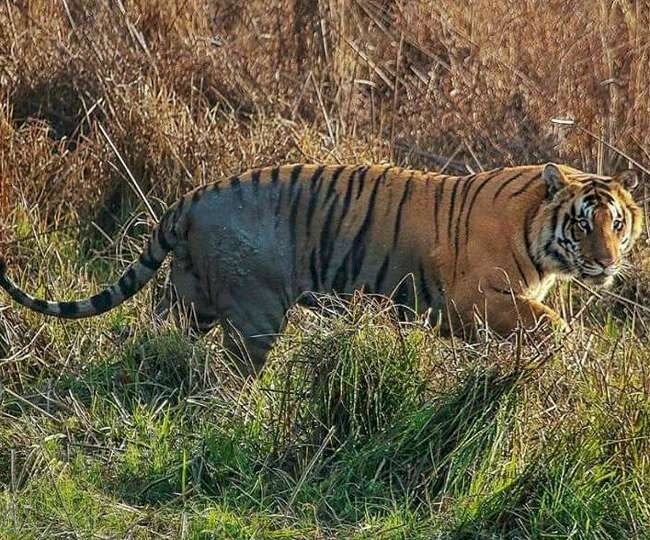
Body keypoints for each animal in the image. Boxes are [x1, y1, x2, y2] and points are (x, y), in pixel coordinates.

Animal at [0, 162, 636, 370]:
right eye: (584, 224)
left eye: (617, 223)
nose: (606, 263)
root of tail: (190, 198)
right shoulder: (472, 300)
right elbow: (551, 325)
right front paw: (572, 354)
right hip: (255, 313)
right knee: (236, 371)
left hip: (187, 298)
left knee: (158, 340)